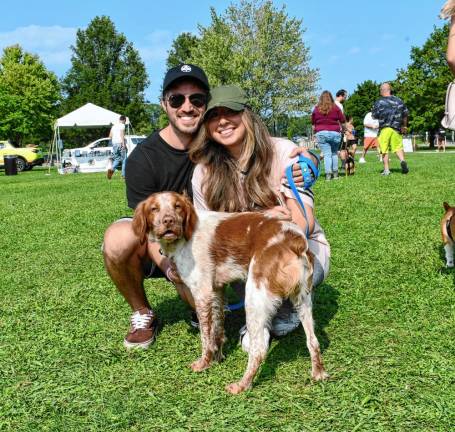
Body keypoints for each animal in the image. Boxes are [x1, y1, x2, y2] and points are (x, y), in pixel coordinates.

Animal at [132, 191, 328, 394]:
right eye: (154, 209)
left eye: (177, 206)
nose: (168, 221)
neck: (186, 234)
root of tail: (294, 240)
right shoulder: (217, 290)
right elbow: (217, 329)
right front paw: (218, 357)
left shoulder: (202, 293)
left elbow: (205, 336)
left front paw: (203, 363)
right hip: (303, 299)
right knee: (313, 340)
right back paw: (318, 373)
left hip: (255, 297)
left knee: (259, 348)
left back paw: (242, 384)